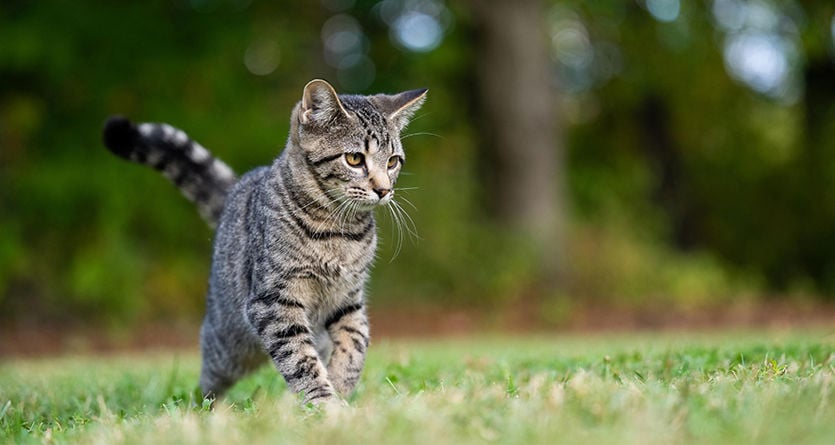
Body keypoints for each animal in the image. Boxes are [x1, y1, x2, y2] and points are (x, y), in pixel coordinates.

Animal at [103, 79, 428, 402]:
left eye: (393, 162)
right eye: (355, 159)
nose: (384, 190)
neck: (339, 231)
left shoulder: (348, 299)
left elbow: (355, 343)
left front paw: (341, 386)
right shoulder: (273, 302)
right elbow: (301, 360)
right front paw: (324, 402)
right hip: (227, 347)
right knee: (209, 380)